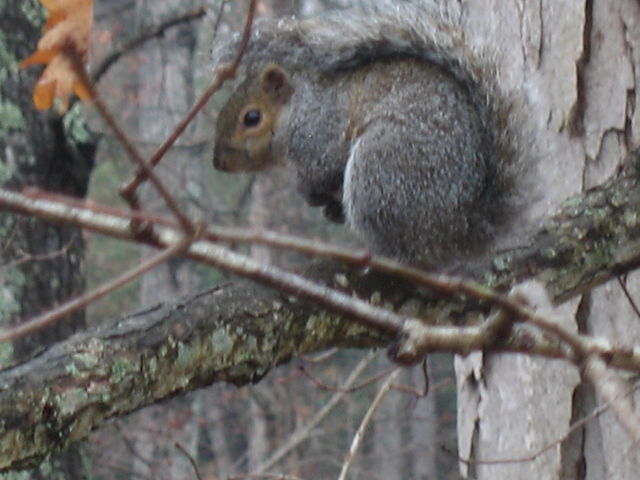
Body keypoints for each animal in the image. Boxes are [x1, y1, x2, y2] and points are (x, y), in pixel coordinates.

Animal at [212, 3, 528, 266]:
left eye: (252, 118)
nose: (218, 162)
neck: (298, 107)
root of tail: (455, 230)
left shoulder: (322, 130)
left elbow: (323, 166)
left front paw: (306, 190)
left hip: (382, 170)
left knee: (404, 251)